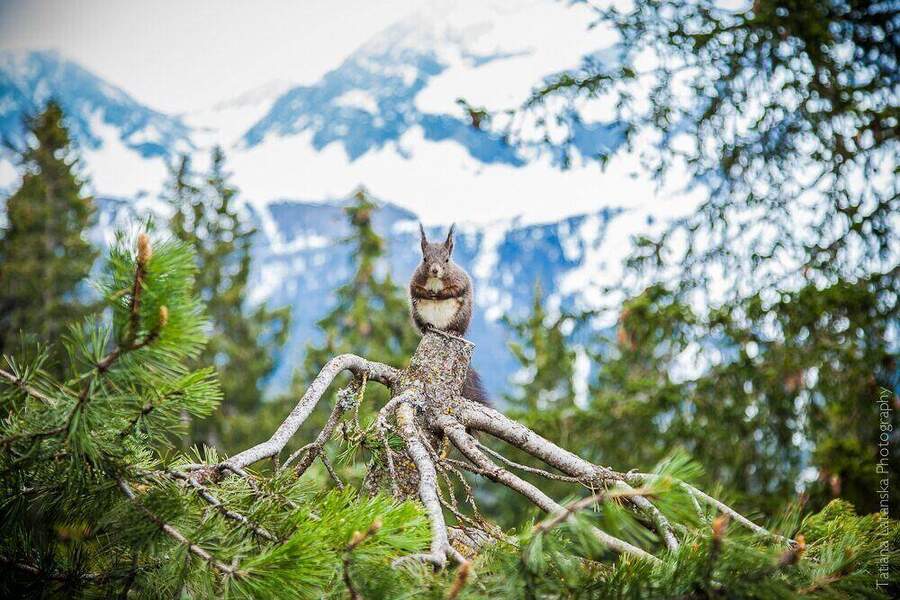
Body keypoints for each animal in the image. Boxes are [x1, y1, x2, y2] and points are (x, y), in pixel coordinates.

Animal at [409, 223, 489, 405]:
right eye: (424, 259)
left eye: (446, 260)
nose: (434, 270)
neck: (435, 282)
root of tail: (441, 328)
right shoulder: (415, 280)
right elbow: (415, 290)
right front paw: (428, 294)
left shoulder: (459, 280)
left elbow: (456, 289)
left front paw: (439, 295)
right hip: (417, 314)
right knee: (424, 325)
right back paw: (428, 326)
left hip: (462, 316)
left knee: (456, 327)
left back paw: (454, 332)